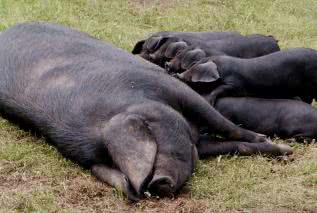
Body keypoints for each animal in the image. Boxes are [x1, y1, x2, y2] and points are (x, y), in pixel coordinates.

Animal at [0, 22, 288, 201]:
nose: (157, 182)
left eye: (157, 146)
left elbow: (227, 128)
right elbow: (232, 143)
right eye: (112, 162)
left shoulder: (170, 86)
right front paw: (281, 148)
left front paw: (280, 148)